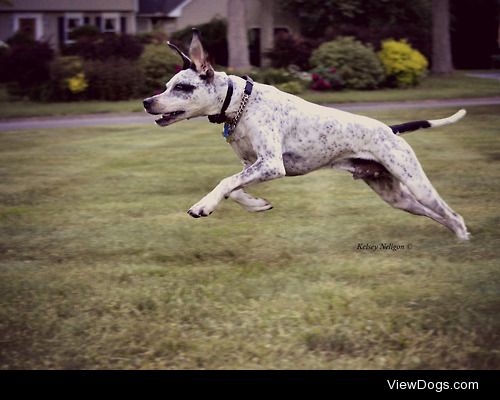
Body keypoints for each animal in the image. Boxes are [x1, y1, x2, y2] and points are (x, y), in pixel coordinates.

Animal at [144, 30, 468, 241]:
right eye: (167, 85)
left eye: (181, 87)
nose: (147, 102)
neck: (239, 103)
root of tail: (391, 129)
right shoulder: (251, 165)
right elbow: (234, 188)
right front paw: (256, 204)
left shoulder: (271, 164)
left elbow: (225, 182)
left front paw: (203, 205)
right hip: (397, 197)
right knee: (438, 215)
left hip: (416, 184)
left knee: (453, 214)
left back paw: (463, 239)